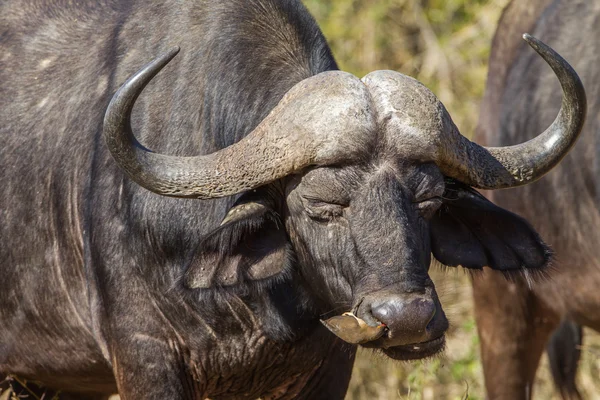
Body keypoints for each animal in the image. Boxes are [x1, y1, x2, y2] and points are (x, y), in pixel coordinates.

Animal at [0, 0, 584, 400]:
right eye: (320, 205)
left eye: (430, 200)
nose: (408, 318)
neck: (250, 302)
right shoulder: (147, 359)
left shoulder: (329, 367)